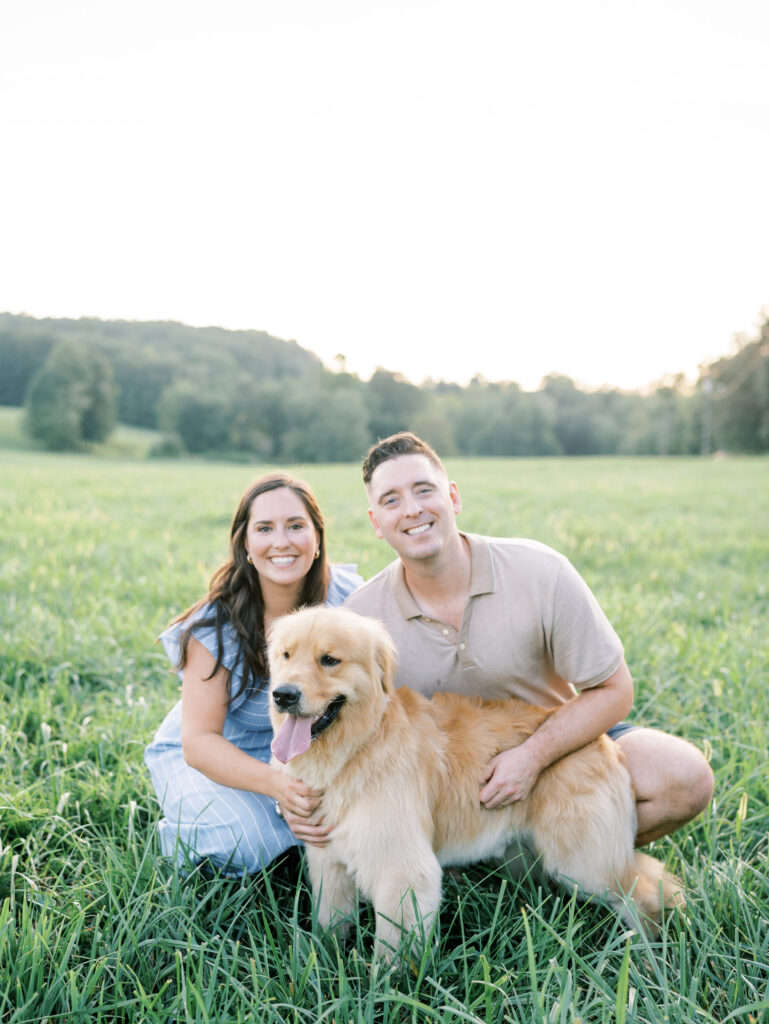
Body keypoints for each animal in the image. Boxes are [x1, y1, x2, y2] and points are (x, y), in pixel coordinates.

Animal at [266, 602, 684, 954]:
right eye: (285, 655)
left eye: (329, 660)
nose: (282, 695)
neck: (359, 745)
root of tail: (602, 741)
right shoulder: (329, 863)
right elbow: (329, 925)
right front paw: (322, 963)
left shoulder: (402, 870)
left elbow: (392, 951)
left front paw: (385, 989)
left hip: (581, 860)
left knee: (644, 887)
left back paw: (648, 958)